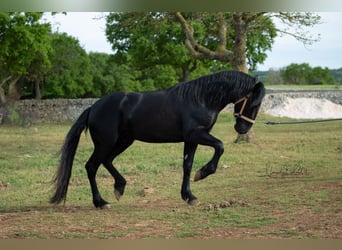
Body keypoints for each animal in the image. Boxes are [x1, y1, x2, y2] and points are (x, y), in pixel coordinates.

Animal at [50, 69, 264, 208]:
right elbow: (219, 146)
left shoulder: (191, 139)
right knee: (92, 166)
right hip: (106, 142)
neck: (200, 99)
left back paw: (119, 187)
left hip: (124, 141)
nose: (242, 129)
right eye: (253, 103)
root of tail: (93, 107)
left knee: (107, 161)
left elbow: (187, 166)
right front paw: (203, 173)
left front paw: (189, 196)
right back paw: (100, 202)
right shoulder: (196, 134)